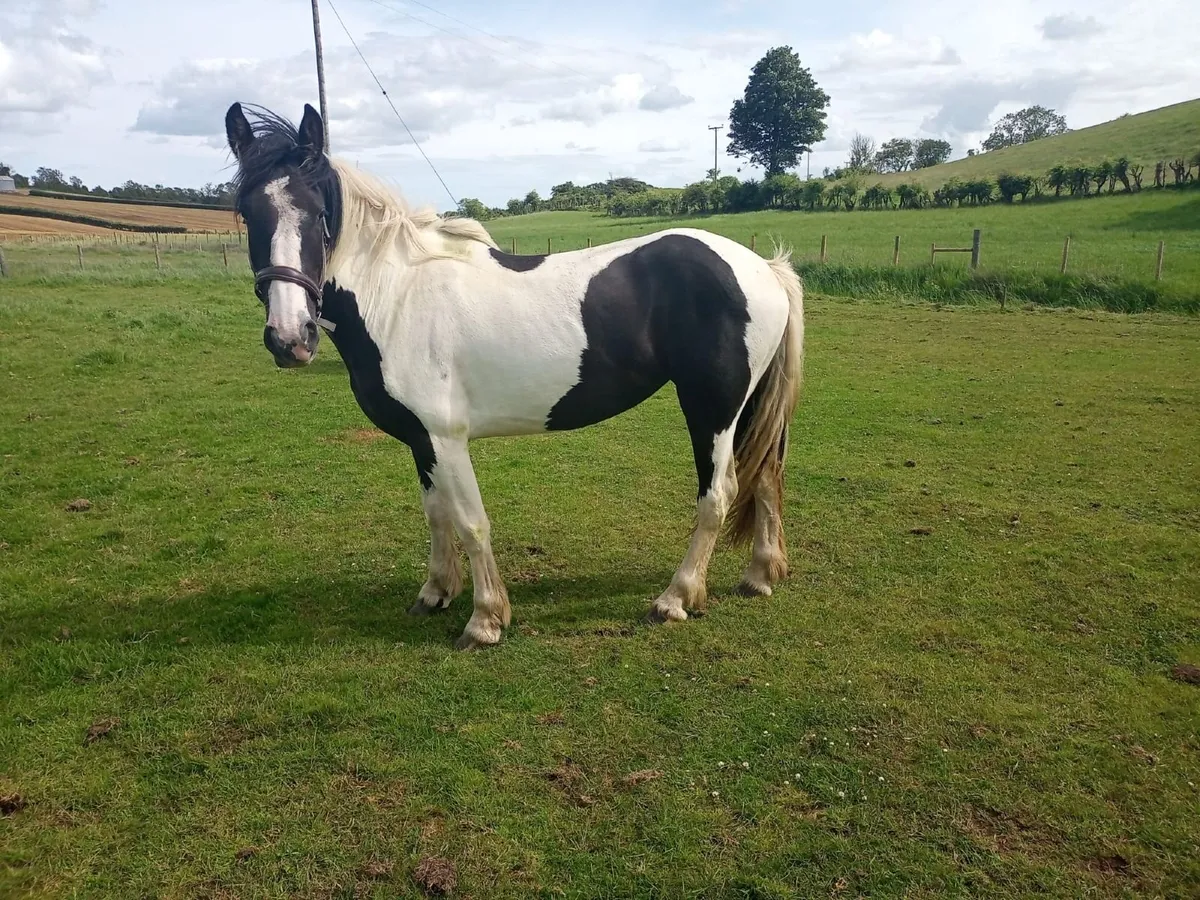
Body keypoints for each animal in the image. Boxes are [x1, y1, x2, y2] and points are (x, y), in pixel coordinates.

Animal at [224, 102, 804, 650]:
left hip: (711, 409)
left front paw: (485, 620)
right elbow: (436, 513)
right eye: (247, 214)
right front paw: (435, 592)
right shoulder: (420, 440)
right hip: (748, 408)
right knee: (766, 477)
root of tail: (763, 268)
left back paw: (676, 597)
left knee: (719, 494)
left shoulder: (445, 438)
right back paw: (759, 575)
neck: (397, 297)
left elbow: (472, 522)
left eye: (320, 212)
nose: (289, 337)